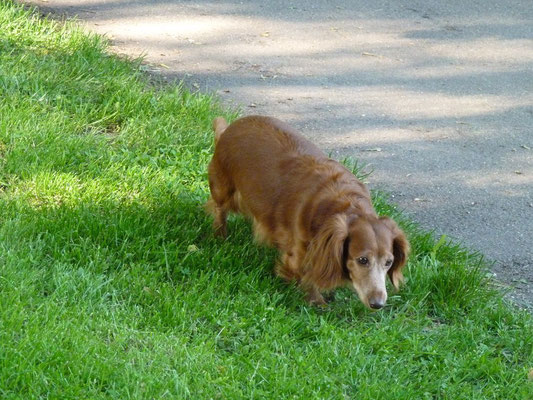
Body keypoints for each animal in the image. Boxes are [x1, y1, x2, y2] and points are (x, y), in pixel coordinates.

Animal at [206, 115, 410, 310]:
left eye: (389, 262)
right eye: (362, 260)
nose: (378, 304)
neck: (341, 204)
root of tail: (230, 127)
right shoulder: (299, 253)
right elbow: (305, 276)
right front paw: (316, 302)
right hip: (225, 190)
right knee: (219, 209)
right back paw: (220, 235)